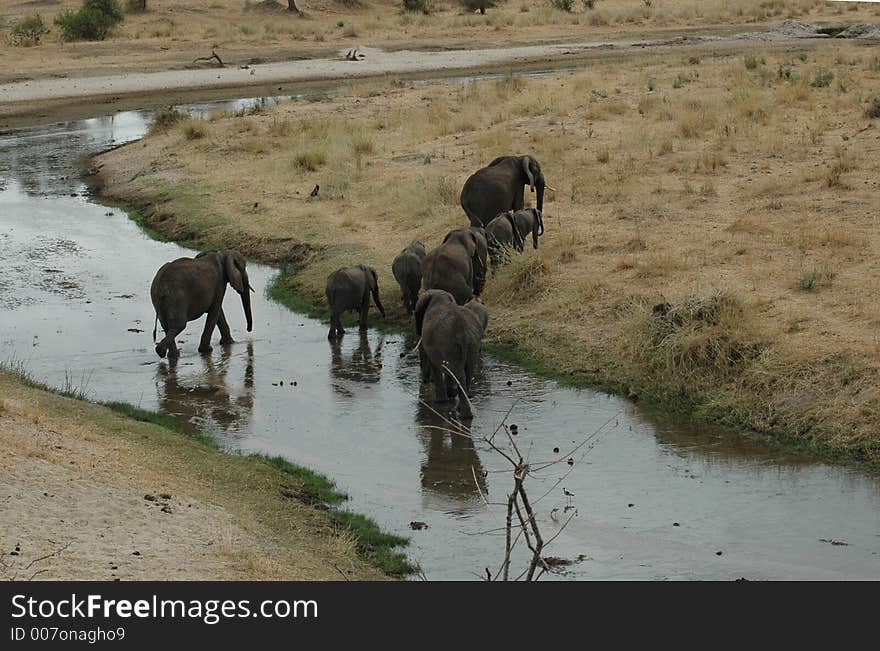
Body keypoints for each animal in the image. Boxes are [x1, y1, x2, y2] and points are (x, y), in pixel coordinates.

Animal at [412, 290, 488, 420]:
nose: (425, 381)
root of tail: (464, 332)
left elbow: (435, 366)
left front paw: (440, 401)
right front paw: (450, 395)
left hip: (450, 344)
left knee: (458, 373)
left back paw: (463, 414)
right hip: (472, 343)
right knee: (468, 372)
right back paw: (460, 409)